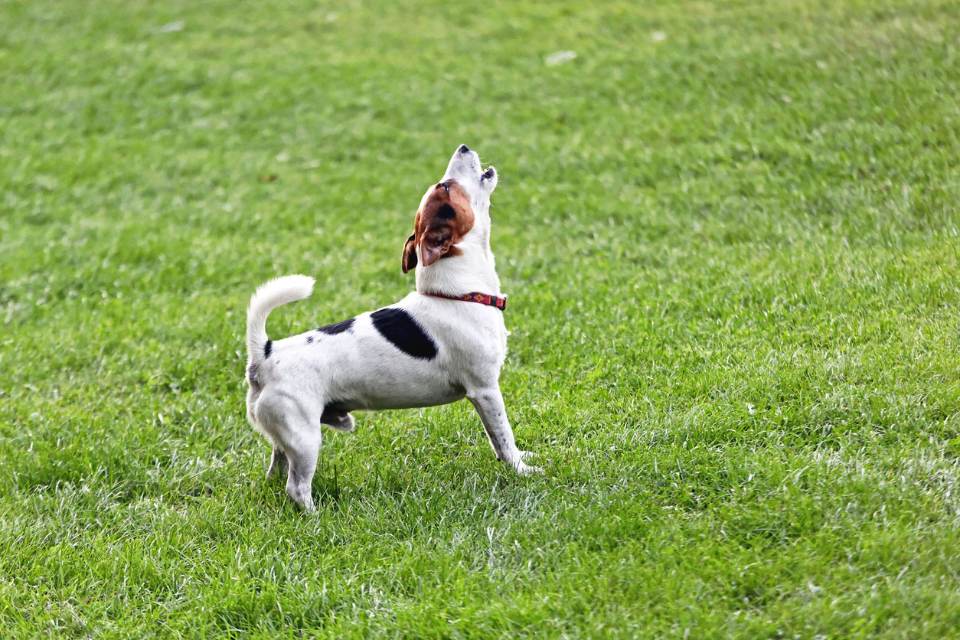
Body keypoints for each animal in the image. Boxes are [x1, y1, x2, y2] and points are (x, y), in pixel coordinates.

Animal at [244, 145, 540, 510]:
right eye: (445, 187)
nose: (463, 147)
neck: (456, 293)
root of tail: (265, 354)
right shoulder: (484, 389)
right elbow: (502, 437)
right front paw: (521, 469)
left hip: (285, 435)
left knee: (276, 468)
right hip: (305, 437)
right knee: (296, 487)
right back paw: (315, 515)